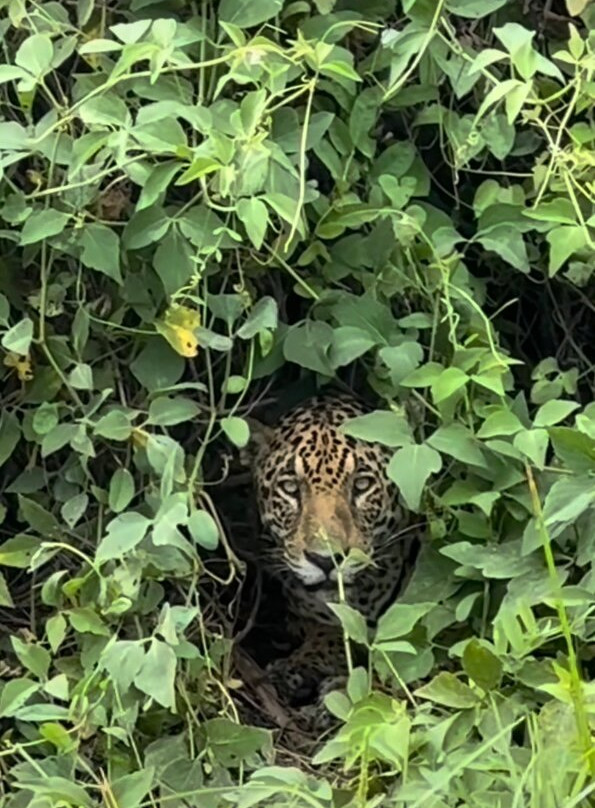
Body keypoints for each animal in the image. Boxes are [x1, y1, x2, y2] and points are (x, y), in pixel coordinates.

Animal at [243, 392, 423, 725]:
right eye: (290, 487)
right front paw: (298, 667)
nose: (326, 560)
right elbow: (329, 630)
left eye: (362, 485)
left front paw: (340, 696)